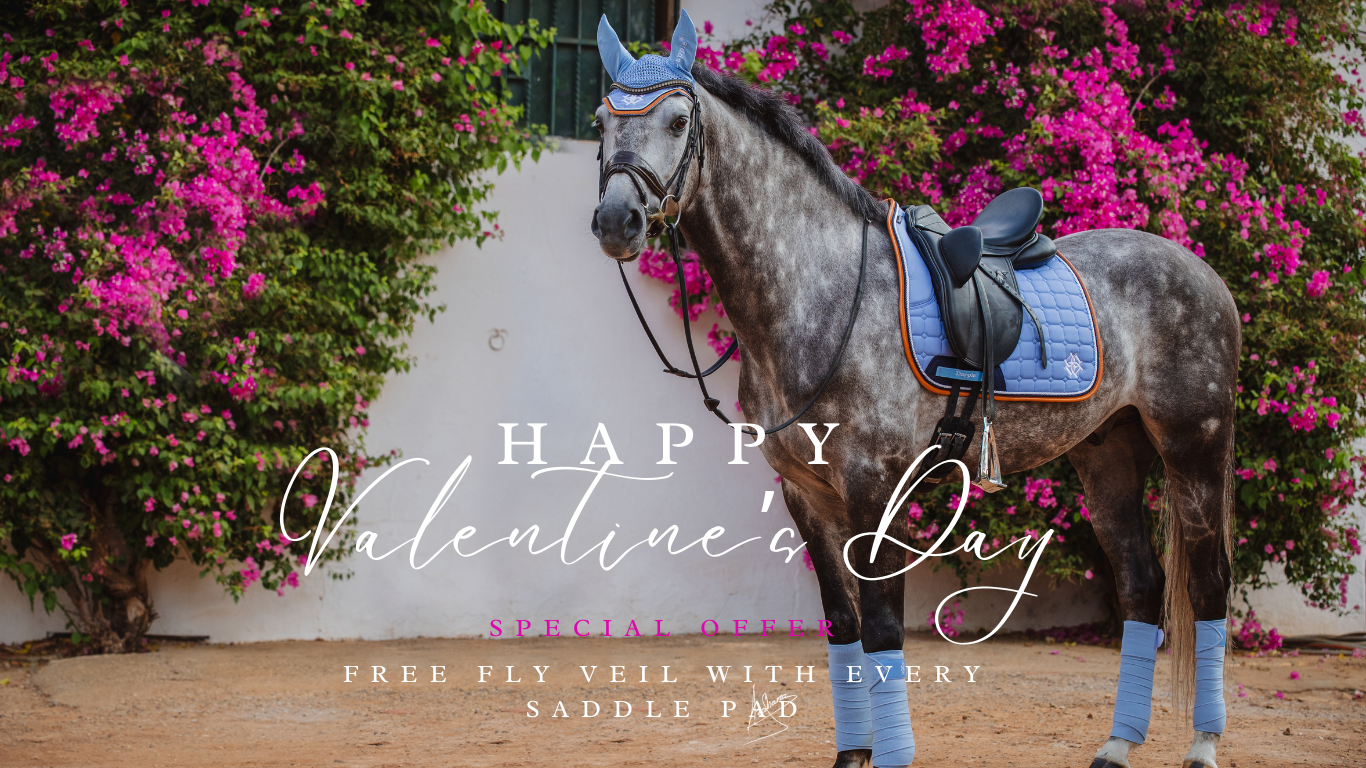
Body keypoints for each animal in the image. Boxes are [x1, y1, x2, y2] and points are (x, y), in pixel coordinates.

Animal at [587, 14, 1238, 768]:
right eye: (601, 119)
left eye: (675, 119)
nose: (616, 223)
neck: (821, 290)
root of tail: (1201, 271)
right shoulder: (806, 495)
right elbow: (844, 628)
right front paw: (852, 755)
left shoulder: (876, 488)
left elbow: (883, 631)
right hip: (1107, 451)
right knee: (1141, 585)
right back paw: (1116, 746)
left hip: (1194, 448)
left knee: (1209, 585)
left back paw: (1203, 745)